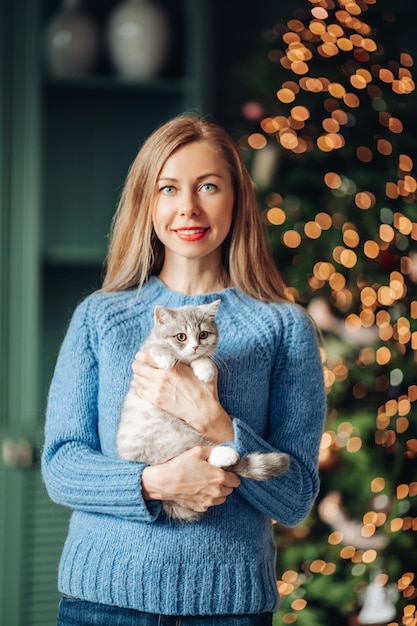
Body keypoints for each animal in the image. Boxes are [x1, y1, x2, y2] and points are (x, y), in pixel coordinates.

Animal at [115, 300, 288, 520]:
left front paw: (204, 368)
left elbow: (204, 359)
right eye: (181, 336)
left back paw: (226, 454)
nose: (195, 346)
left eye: (203, 334)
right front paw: (165, 358)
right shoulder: (145, 351)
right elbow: (157, 347)